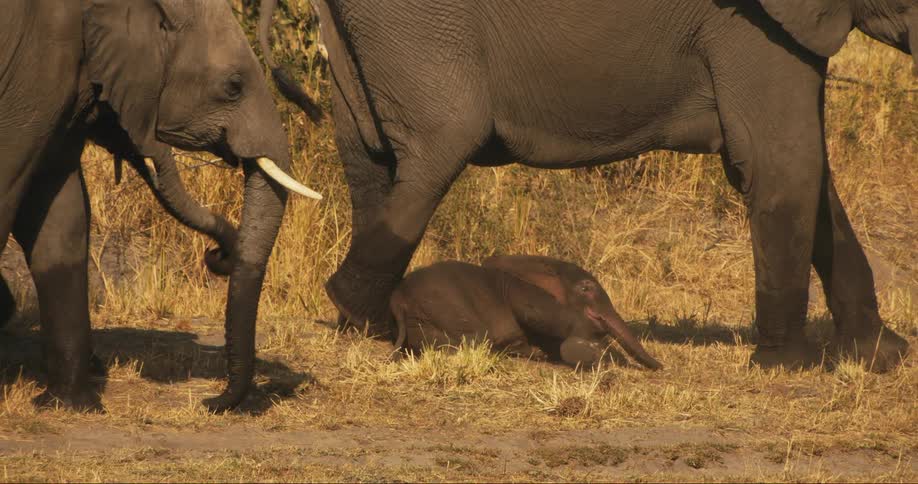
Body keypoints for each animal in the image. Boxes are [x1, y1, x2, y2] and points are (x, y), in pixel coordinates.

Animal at [391, 256, 663, 370]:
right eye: (586, 288)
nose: (661, 366)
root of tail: (398, 299)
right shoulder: (524, 293)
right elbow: (545, 320)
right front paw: (597, 354)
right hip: (444, 305)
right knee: (477, 339)